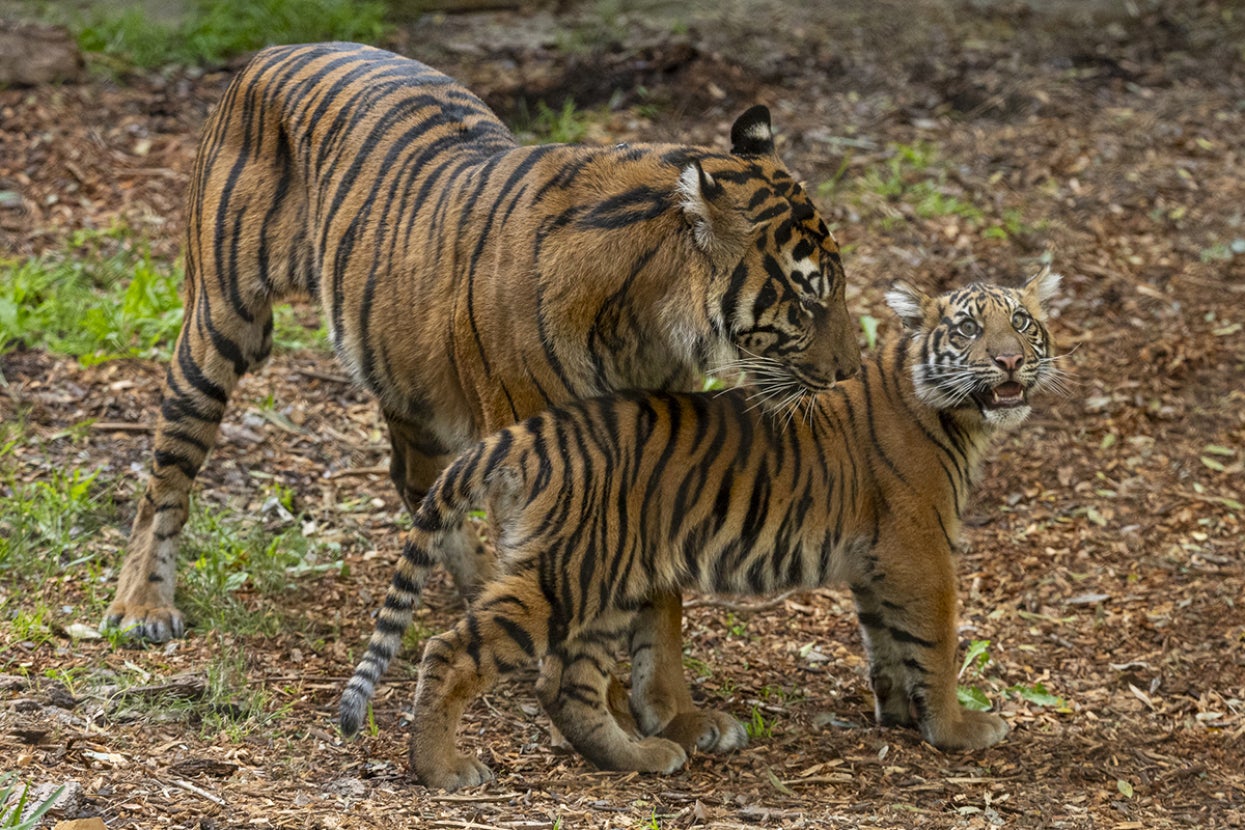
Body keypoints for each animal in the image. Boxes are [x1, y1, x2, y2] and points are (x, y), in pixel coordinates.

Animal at [100, 41, 862, 757]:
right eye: (807, 296)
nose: (852, 371)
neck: (650, 318)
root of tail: (277, 49)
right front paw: (604, 709)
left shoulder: (656, 449)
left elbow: (661, 600)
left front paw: (675, 714)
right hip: (218, 328)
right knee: (165, 477)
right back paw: (141, 605)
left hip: (404, 369)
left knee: (421, 486)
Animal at [337, 270, 1063, 790]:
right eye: (968, 328)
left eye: (1022, 322)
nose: (1008, 362)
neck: (952, 416)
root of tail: (533, 432)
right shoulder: (919, 551)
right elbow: (935, 643)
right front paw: (956, 729)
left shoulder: (875, 563)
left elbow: (886, 641)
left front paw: (900, 714)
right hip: (568, 574)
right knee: (452, 650)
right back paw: (441, 771)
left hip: (606, 580)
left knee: (565, 685)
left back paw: (639, 756)